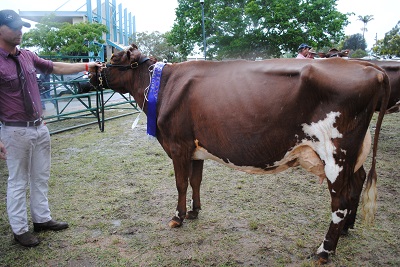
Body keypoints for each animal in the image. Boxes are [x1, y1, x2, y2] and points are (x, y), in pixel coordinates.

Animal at [91, 43, 390, 264]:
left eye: (114, 57)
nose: (92, 73)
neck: (163, 85)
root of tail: (371, 68)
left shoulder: (177, 145)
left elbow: (180, 183)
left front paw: (177, 217)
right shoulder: (195, 149)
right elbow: (195, 181)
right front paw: (194, 212)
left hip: (335, 155)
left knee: (340, 201)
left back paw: (324, 251)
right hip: (354, 155)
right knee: (356, 185)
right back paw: (347, 230)